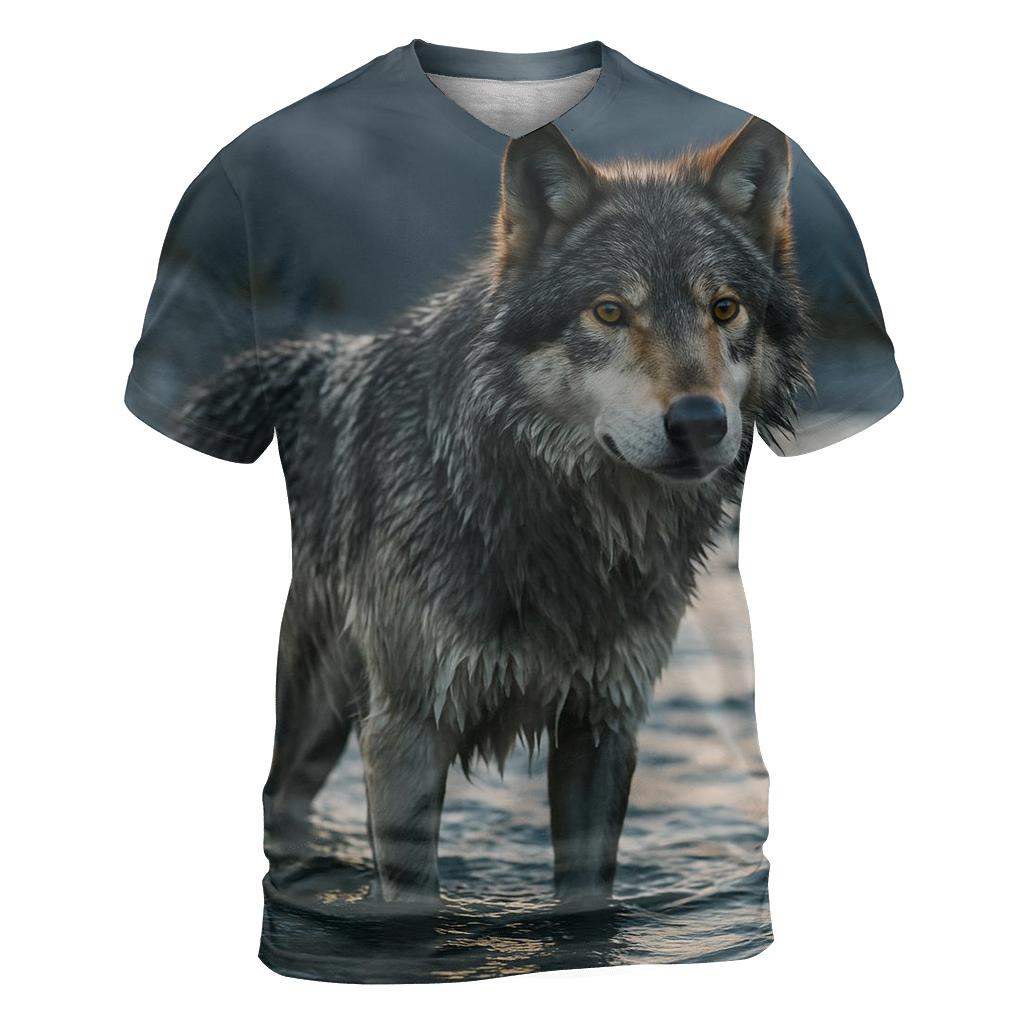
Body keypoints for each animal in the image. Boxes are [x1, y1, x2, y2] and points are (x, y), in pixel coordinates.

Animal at [182, 116, 811, 904]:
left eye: (724, 308)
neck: (560, 532)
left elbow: (587, 899)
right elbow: (414, 903)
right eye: (609, 310)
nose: (698, 423)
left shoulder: (602, 726)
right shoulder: (408, 730)